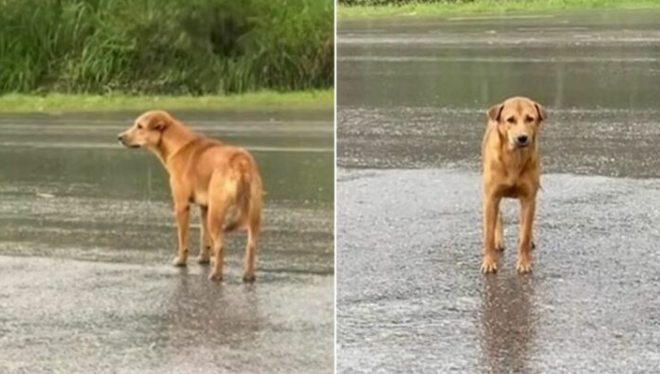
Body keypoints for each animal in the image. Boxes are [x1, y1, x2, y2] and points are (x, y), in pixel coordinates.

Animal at [118, 110, 262, 280]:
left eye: (140, 126)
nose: (119, 137)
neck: (178, 146)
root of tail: (240, 161)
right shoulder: (204, 208)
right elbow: (204, 238)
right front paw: (204, 258)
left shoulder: (181, 205)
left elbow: (183, 239)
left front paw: (181, 261)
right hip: (252, 214)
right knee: (251, 246)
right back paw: (248, 275)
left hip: (217, 213)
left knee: (220, 245)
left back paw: (216, 275)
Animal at [480, 95, 548, 274]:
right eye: (510, 119)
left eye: (530, 118)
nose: (522, 138)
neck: (514, 159)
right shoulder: (491, 197)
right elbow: (488, 235)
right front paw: (488, 262)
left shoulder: (529, 199)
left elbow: (524, 234)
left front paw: (524, 262)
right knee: (498, 217)